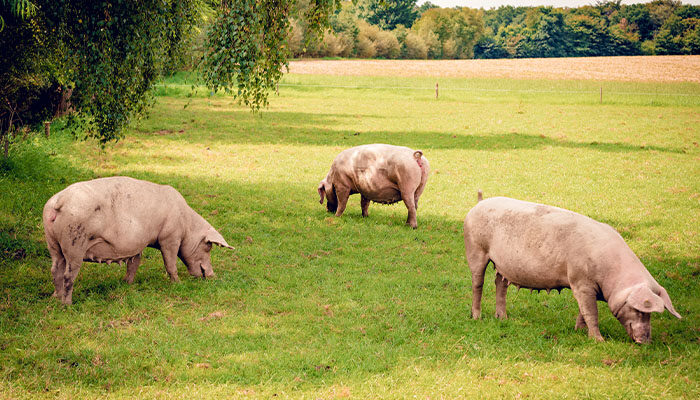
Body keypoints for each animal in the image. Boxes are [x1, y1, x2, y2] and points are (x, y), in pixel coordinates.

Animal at [42, 177, 234, 304]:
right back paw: (67, 304)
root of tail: (59, 202)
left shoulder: (137, 245)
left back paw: (54, 298)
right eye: (208, 247)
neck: (186, 224)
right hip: (75, 243)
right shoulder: (170, 238)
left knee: (55, 270)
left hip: (53, 243)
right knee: (68, 275)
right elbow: (170, 263)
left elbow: (134, 264)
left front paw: (127, 283)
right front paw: (178, 283)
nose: (212, 275)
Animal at [462, 192, 680, 342]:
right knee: (477, 283)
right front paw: (599, 340)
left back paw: (503, 319)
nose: (645, 341)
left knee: (500, 284)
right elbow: (591, 312)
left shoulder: (587, 287)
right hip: (475, 249)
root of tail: (479, 203)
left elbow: (583, 310)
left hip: (502, 265)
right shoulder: (580, 280)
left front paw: (579, 331)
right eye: (641, 310)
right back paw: (477, 317)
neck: (611, 278)